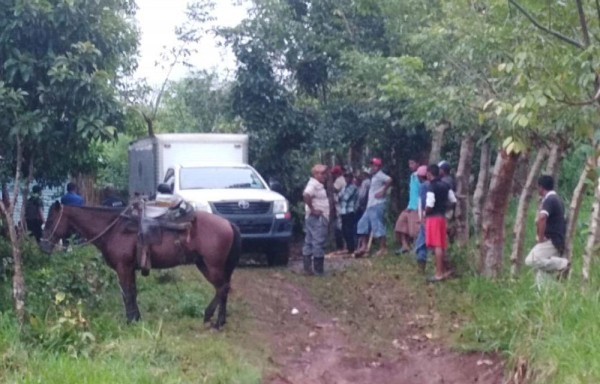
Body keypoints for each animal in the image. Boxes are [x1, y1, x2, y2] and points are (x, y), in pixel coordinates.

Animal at [39, 202, 243, 328]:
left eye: (50, 221)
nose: (43, 246)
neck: (114, 229)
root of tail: (228, 223)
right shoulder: (129, 268)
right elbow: (133, 293)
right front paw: (136, 318)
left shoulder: (123, 268)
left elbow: (127, 294)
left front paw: (130, 321)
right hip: (206, 265)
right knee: (223, 288)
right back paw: (219, 320)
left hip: (212, 265)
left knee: (222, 288)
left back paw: (212, 318)